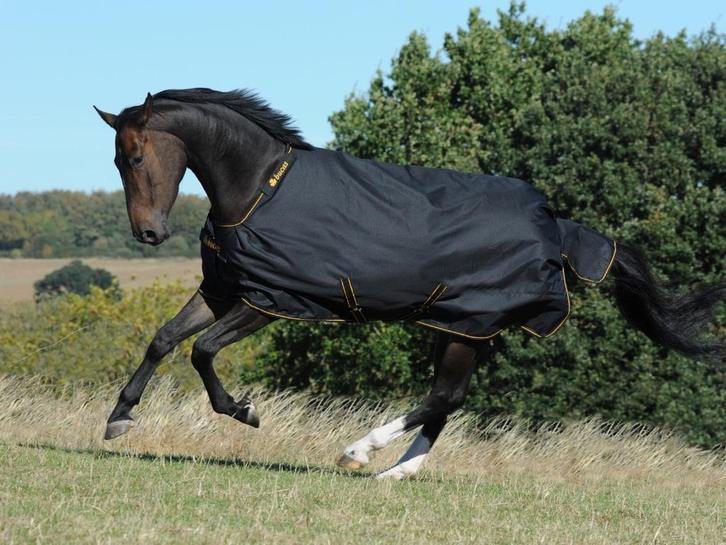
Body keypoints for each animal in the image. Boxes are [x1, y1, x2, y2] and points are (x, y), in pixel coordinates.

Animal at [94, 89, 724, 480]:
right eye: (118, 160)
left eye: (136, 156)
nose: (149, 233)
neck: (259, 189)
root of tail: (556, 229)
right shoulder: (225, 290)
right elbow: (164, 338)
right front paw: (119, 418)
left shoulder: (272, 301)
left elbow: (201, 350)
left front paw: (244, 411)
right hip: (462, 328)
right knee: (447, 400)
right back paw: (397, 472)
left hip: (468, 325)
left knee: (442, 397)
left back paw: (359, 452)